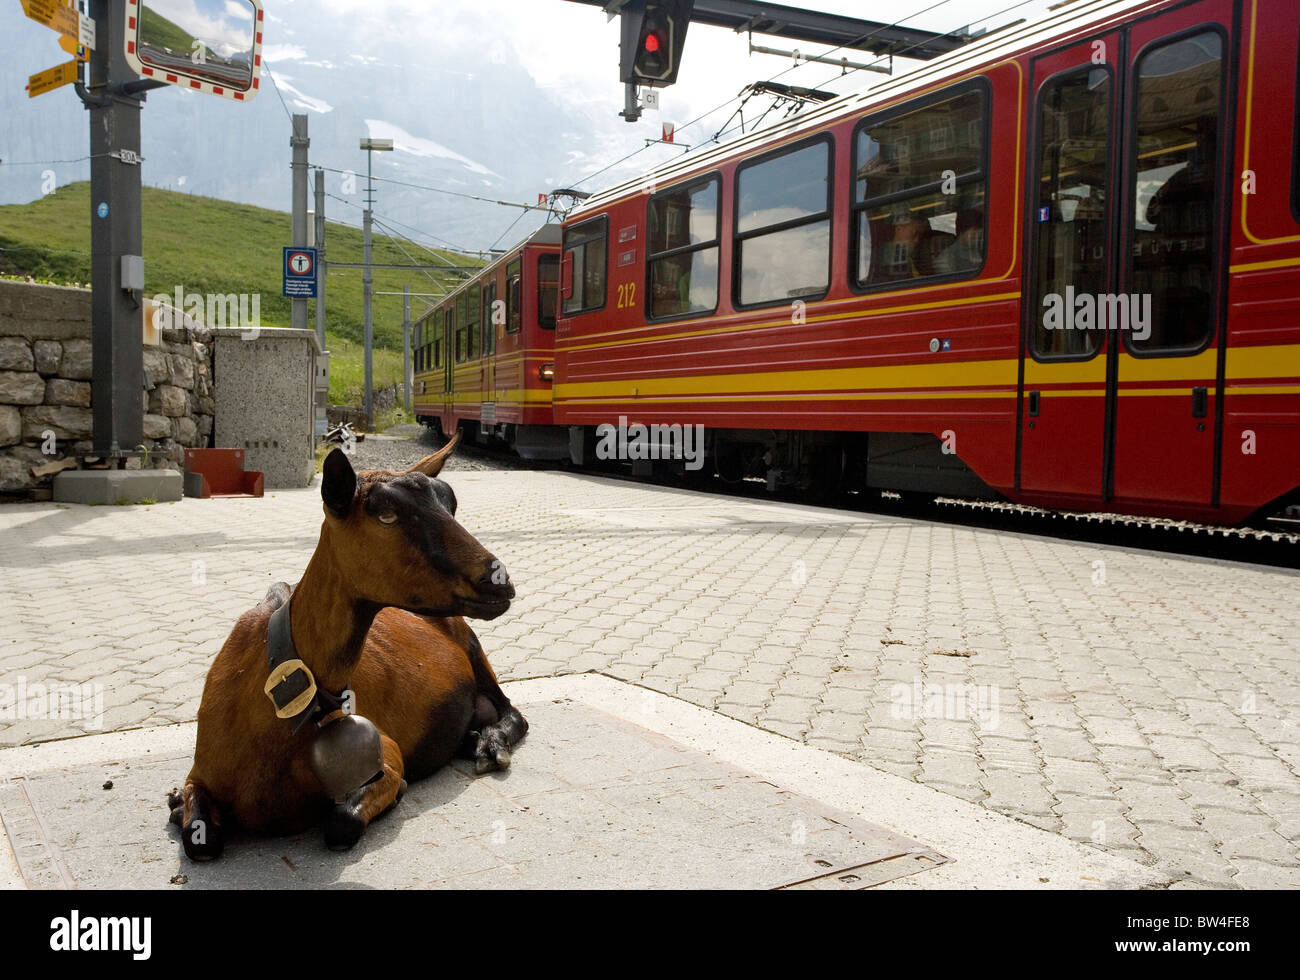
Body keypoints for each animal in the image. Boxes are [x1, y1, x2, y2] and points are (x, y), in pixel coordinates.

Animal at [170, 434, 525, 852]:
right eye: (385, 514)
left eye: (450, 503)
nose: (498, 581)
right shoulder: (199, 773)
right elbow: (201, 839)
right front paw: (177, 803)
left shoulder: (387, 756)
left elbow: (343, 822)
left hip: (471, 645)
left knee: (512, 711)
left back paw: (487, 744)